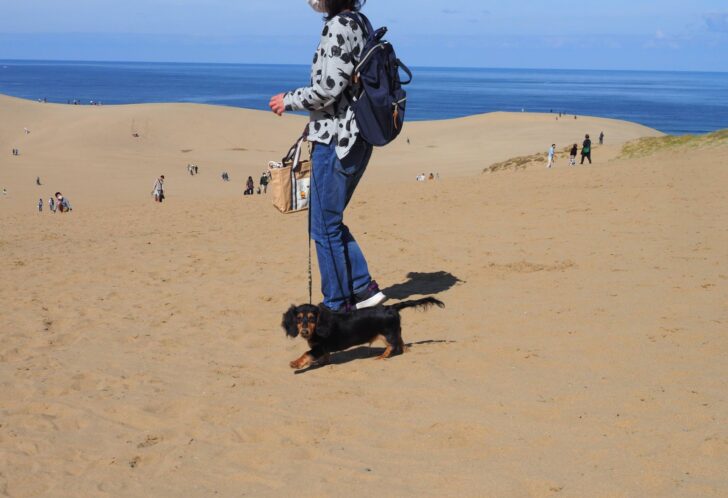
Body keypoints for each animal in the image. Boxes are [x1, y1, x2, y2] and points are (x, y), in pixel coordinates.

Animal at [280, 298, 444, 368]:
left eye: (312, 318)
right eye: (298, 319)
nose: (304, 332)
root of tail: (391, 307)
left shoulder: (319, 347)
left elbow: (306, 353)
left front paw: (296, 363)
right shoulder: (322, 349)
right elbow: (324, 357)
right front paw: (322, 362)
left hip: (387, 333)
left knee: (392, 345)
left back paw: (381, 356)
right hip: (393, 331)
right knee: (401, 342)